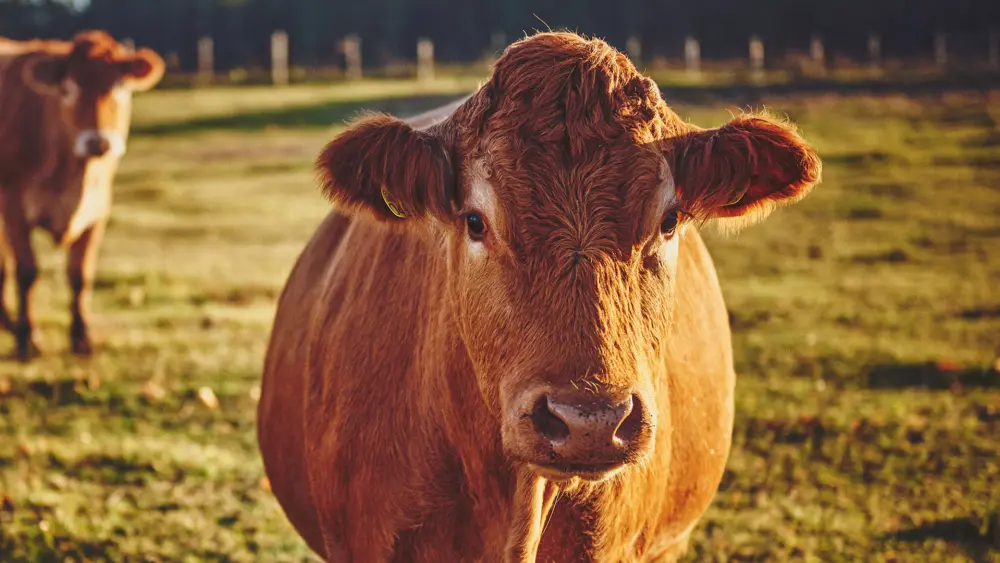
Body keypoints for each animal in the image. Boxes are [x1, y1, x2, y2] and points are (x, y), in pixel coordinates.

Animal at [0, 30, 164, 361]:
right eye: (68, 89)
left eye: (120, 86)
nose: (98, 142)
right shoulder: (12, 206)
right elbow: (26, 271)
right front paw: (27, 337)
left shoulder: (98, 209)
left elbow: (81, 274)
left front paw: (81, 337)